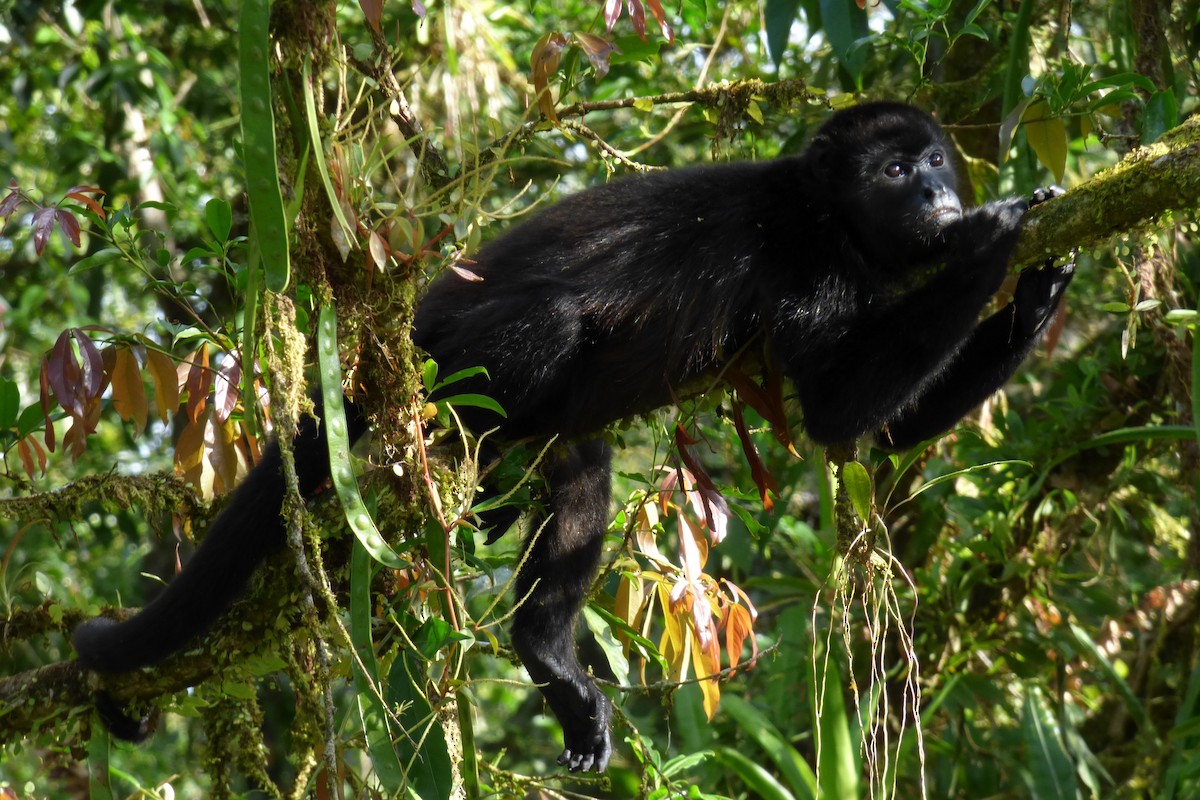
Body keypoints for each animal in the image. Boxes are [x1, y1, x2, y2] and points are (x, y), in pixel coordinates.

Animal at [73, 101, 1073, 773]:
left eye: (936, 158)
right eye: (897, 173)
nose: (941, 188)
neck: (831, 216)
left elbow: (879, 424)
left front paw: (1038, 291)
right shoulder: (809, 264)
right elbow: (836, 414)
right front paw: (994, 236)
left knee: (585, 481)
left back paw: (545, 645)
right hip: (451, 359)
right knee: (547, 326)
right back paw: (463, 470)